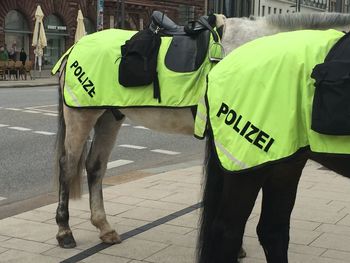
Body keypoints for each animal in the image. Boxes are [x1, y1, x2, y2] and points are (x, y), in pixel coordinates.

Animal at [54, 12, 350, 252]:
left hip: (109, 116)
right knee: (68, 166)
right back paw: (64, 231)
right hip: (81, 115)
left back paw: (104, 227)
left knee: (95, 167)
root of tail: (74, 47)